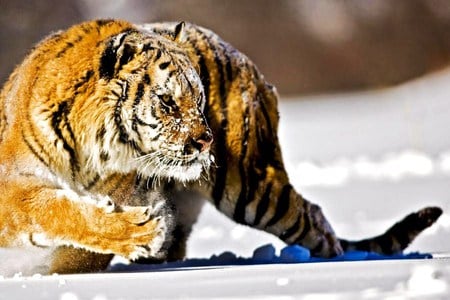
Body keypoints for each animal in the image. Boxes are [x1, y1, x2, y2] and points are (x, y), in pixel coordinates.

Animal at [0, 19, 442, 274]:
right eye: (167, 102)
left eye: (198, 100)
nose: (205, 140)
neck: (87, 153)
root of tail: (238, 52)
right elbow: (54, 210)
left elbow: (71, 234)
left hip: (253, 187)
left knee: (314, 219)